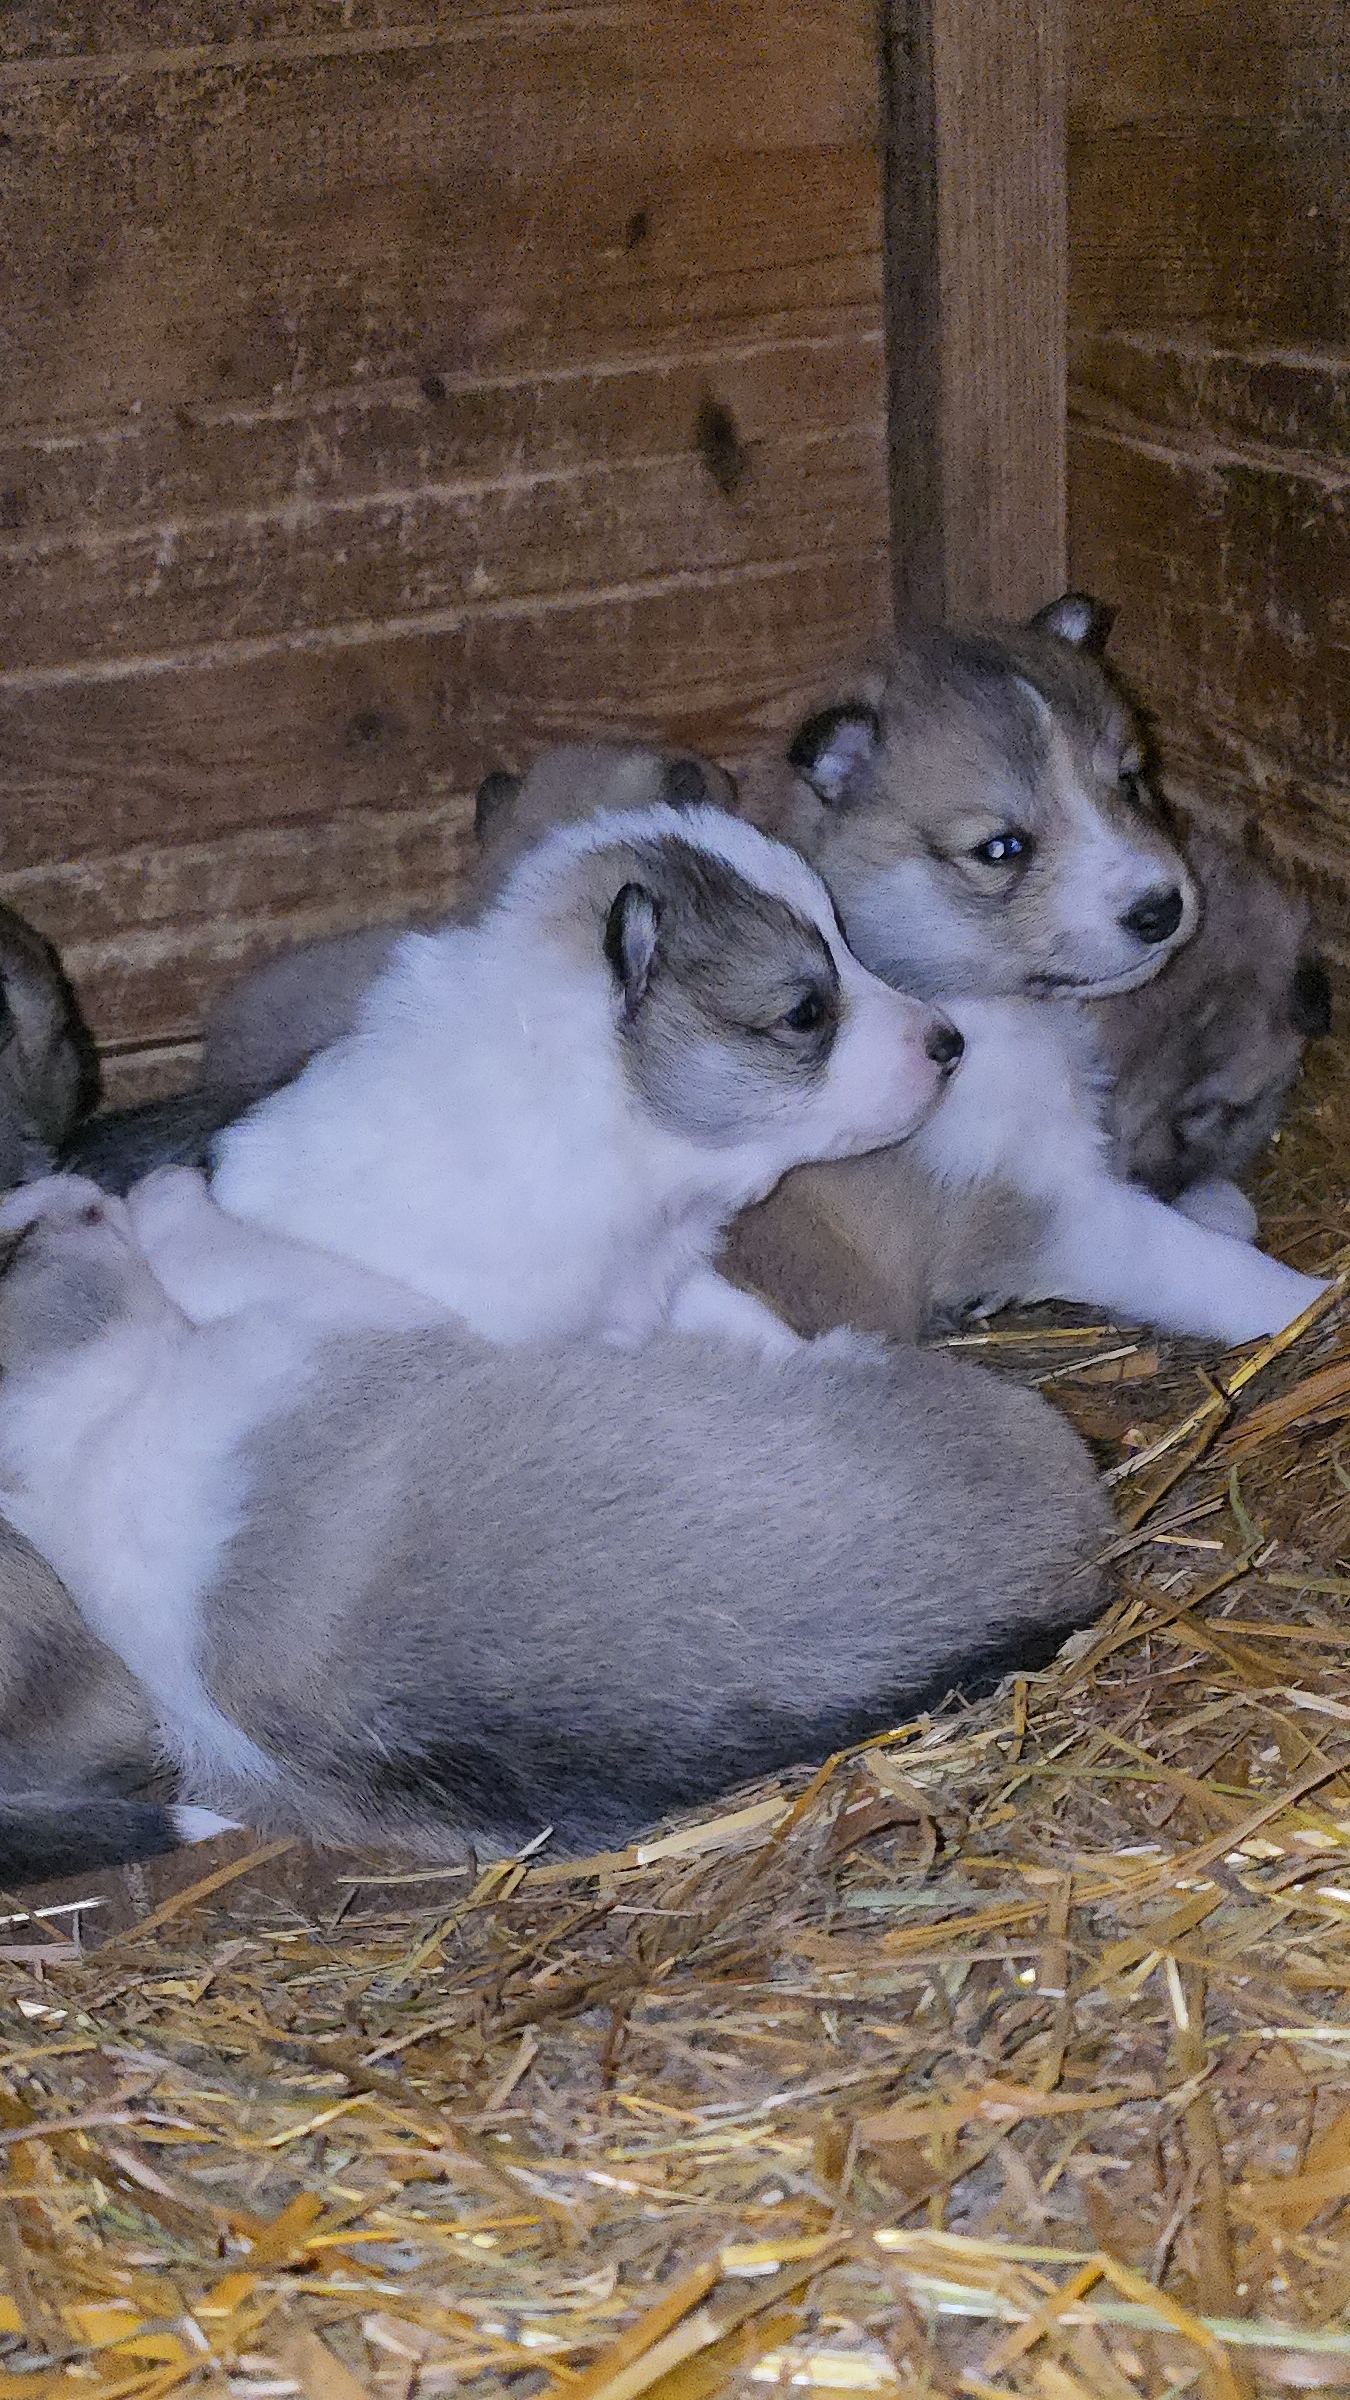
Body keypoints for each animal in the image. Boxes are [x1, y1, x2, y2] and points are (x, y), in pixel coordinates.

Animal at [0, 1175, 1111, 1861]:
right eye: (16, 1239)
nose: (71, 1183)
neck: (82, 1439)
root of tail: (1083, 1574)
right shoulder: (345, 1318)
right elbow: (217, 1245)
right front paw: (168, 1192)